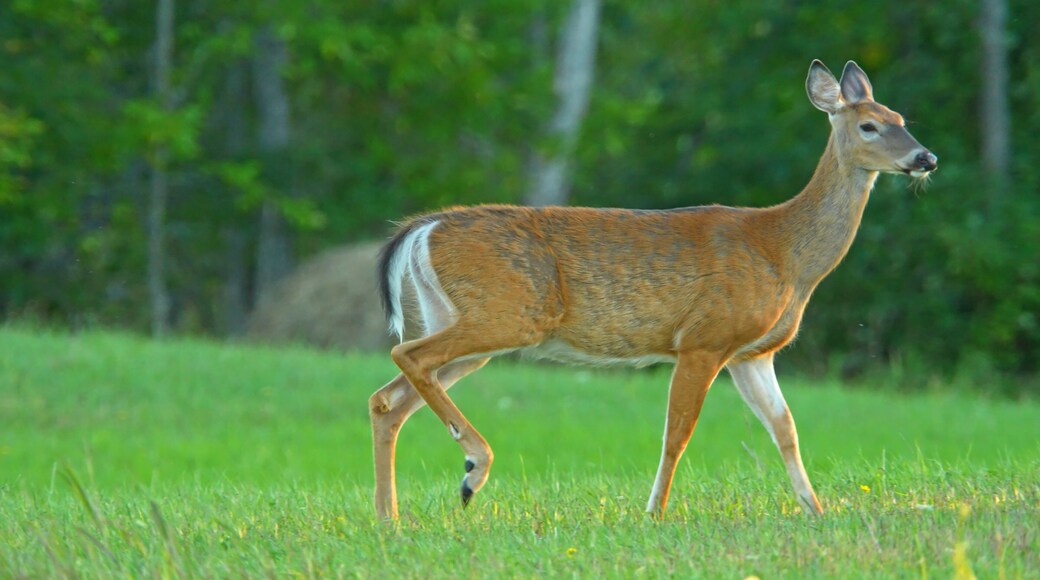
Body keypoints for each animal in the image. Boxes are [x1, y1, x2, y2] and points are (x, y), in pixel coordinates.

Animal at [368, 60, 937, 520]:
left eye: (902, 119)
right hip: (506, 315)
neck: (784, 253)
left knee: (388, 398)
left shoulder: (752, 353)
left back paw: (390, 516)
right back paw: (472, 469)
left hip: (467, 320)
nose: (926, 158)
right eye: (869, 125)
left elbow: (785, 428)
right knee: (407, 355)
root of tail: (422, 228)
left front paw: (815, 511)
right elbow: (678, 432)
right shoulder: (704, 338)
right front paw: (654, 512)